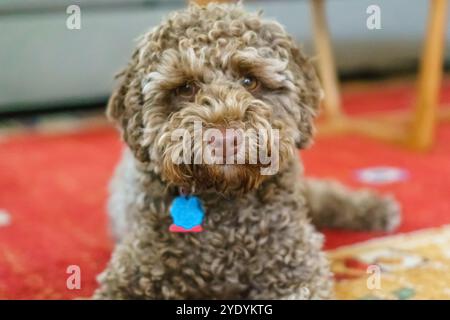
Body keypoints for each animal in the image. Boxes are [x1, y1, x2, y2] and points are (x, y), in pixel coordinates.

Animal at [96, 2, 400, 298]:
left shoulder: (296, 265)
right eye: (185, 88)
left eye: (249, 81)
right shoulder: (133, 272)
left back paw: (373, 208)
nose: (225, 139)